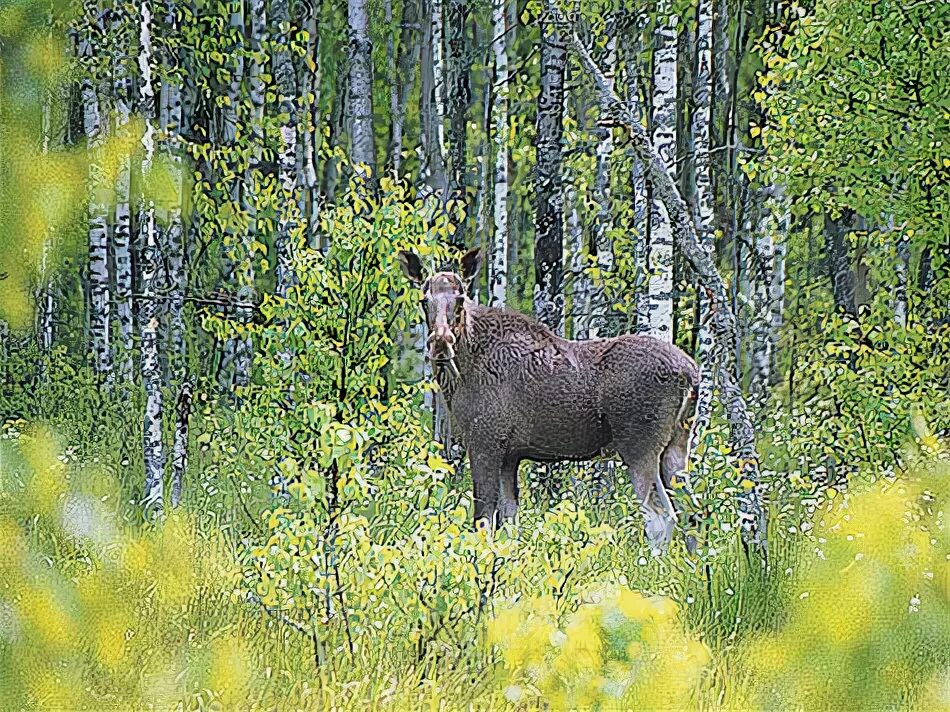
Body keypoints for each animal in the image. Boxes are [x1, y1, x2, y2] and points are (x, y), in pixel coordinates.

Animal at [398, 246, 704, 552]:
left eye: (460, 299)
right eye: (424, 299)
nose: (441, 342)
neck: (461, 373)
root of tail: (690, 373)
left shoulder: (486, 441)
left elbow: (483, 520)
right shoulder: (510, 455)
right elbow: (510, 523)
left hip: (640, 445)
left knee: (661, 517)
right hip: (676, 446)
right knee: (692, 514)